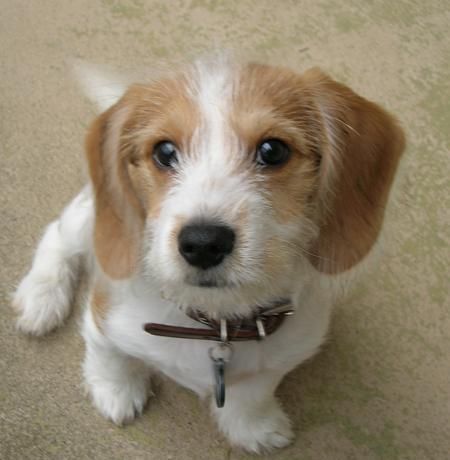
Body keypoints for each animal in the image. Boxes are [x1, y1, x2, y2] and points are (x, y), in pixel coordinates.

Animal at [12, 57, 404, 452]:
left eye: (273, 151)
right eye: (164, 152)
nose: (203, 243)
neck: (216, 326)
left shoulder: (279, 357)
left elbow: (253, 393)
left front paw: (253, 426)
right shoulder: (104, 319)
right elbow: (110, 357)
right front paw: (115, 391)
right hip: (88, 221)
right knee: (57, 232)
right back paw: (41, 297)